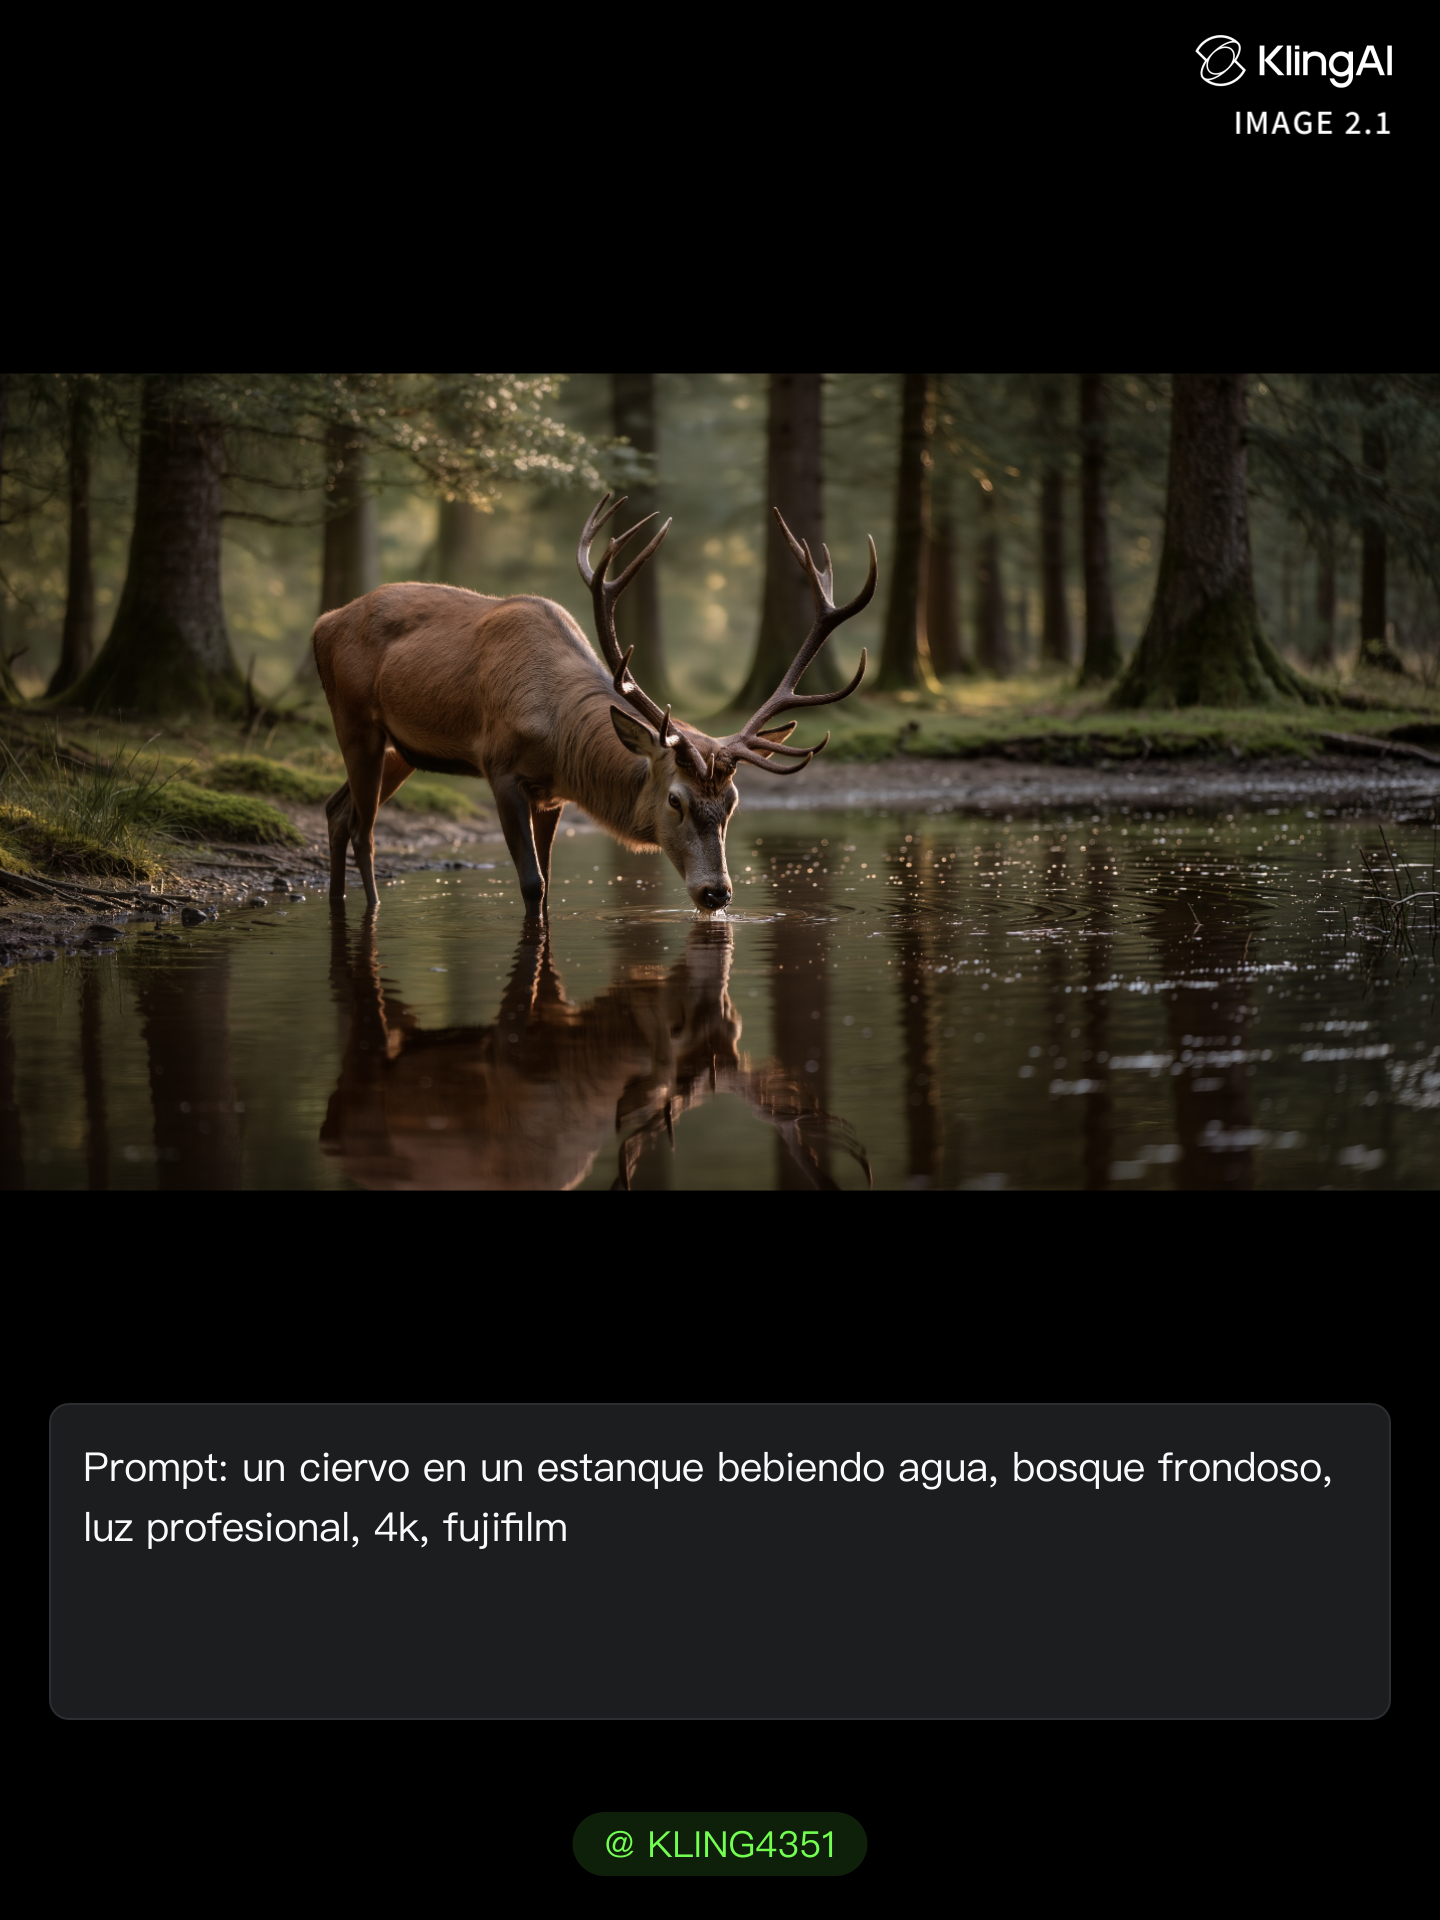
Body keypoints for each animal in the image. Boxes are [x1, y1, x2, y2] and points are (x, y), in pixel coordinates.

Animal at [312, 495, 877, 918]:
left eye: (733, 802)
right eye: (676, 800)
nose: (716, 893)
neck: (557, 736)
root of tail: (322, 624)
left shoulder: (550, 795)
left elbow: (549, 883)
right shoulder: (500, 769)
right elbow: (532, 883)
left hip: (401, 751)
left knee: (337, 809)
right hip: (354, 721)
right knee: (363, 828)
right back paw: (372, 908)